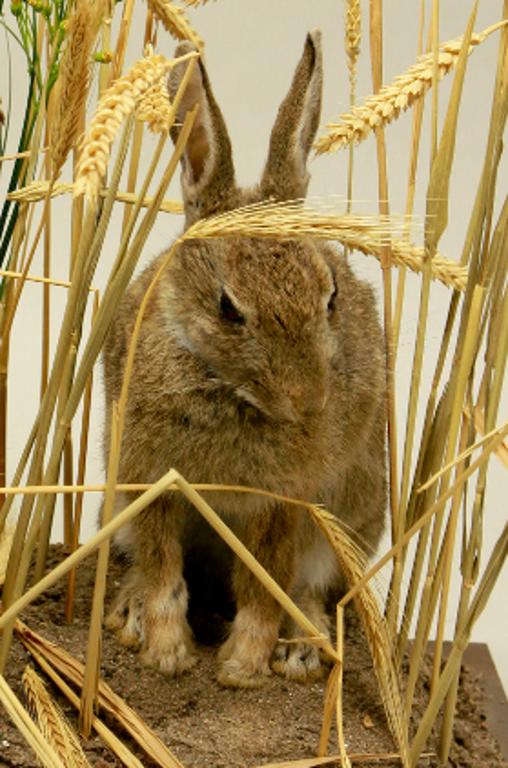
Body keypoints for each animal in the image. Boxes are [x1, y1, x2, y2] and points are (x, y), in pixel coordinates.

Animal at [102, 30, 387, 688]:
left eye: (330, 294)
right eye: (229, 308)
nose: (309, 400)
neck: (223, 387)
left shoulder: (283, 500)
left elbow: (264, 584)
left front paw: (242, 668)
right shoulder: (152, 482)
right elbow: (162, 572)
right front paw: (166, 655)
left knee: (311, 586)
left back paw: (302, 648)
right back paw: (127, 611)